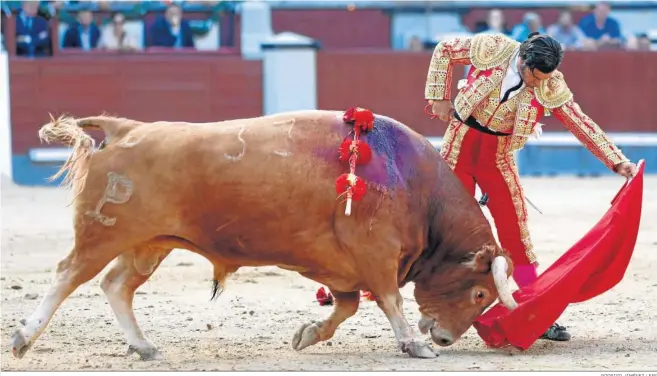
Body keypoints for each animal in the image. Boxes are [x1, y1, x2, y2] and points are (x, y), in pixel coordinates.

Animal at [7, 109, 516, 362]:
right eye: (478, 294)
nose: (446, 338)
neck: (413, 183)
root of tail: (125, 128)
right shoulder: (377, 256)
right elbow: (390, 301)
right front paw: (414, 344)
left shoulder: (343, 267)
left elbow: (346, 307)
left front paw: (308, 334)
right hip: (104, 234)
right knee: (67, 275)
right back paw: (24, 337)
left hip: (149, 244)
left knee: (116, 285)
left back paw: (144, 346)